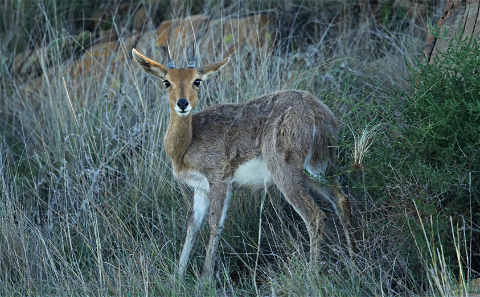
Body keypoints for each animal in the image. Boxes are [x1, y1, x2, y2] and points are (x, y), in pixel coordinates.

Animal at [131, 44, 352, 280]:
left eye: (197, 80)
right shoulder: (201, 188)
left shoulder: (219, 180)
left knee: (316, 217)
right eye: (166, 81)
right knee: (341, 199)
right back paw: (352, 256)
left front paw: (205, 279)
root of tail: (318, 113)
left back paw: (312, 273)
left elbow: (214, 224)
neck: (185, 146)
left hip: (287, 173)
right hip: (318, 169)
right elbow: (193, 224)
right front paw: (178, 277)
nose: (183, 103)